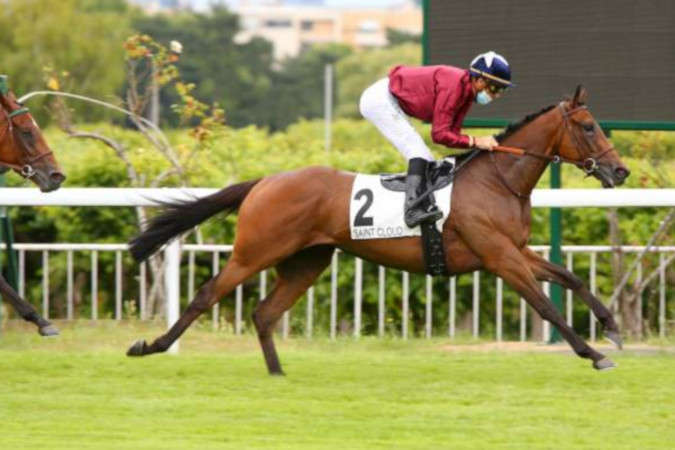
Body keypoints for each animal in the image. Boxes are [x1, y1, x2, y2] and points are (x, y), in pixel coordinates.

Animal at [127, 86, 630, 373]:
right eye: (589, 126)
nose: (620, 171)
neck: (498, 180)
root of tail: (265, 181)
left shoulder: (515, 250)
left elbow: (570, 278)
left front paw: (612, 327)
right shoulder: (499, 257)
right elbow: (546, 306)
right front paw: (593, 354)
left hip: (307, 261)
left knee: (264, 313)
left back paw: (278, 374)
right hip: (255, 251)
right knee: (207, 295)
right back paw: (150, 346)